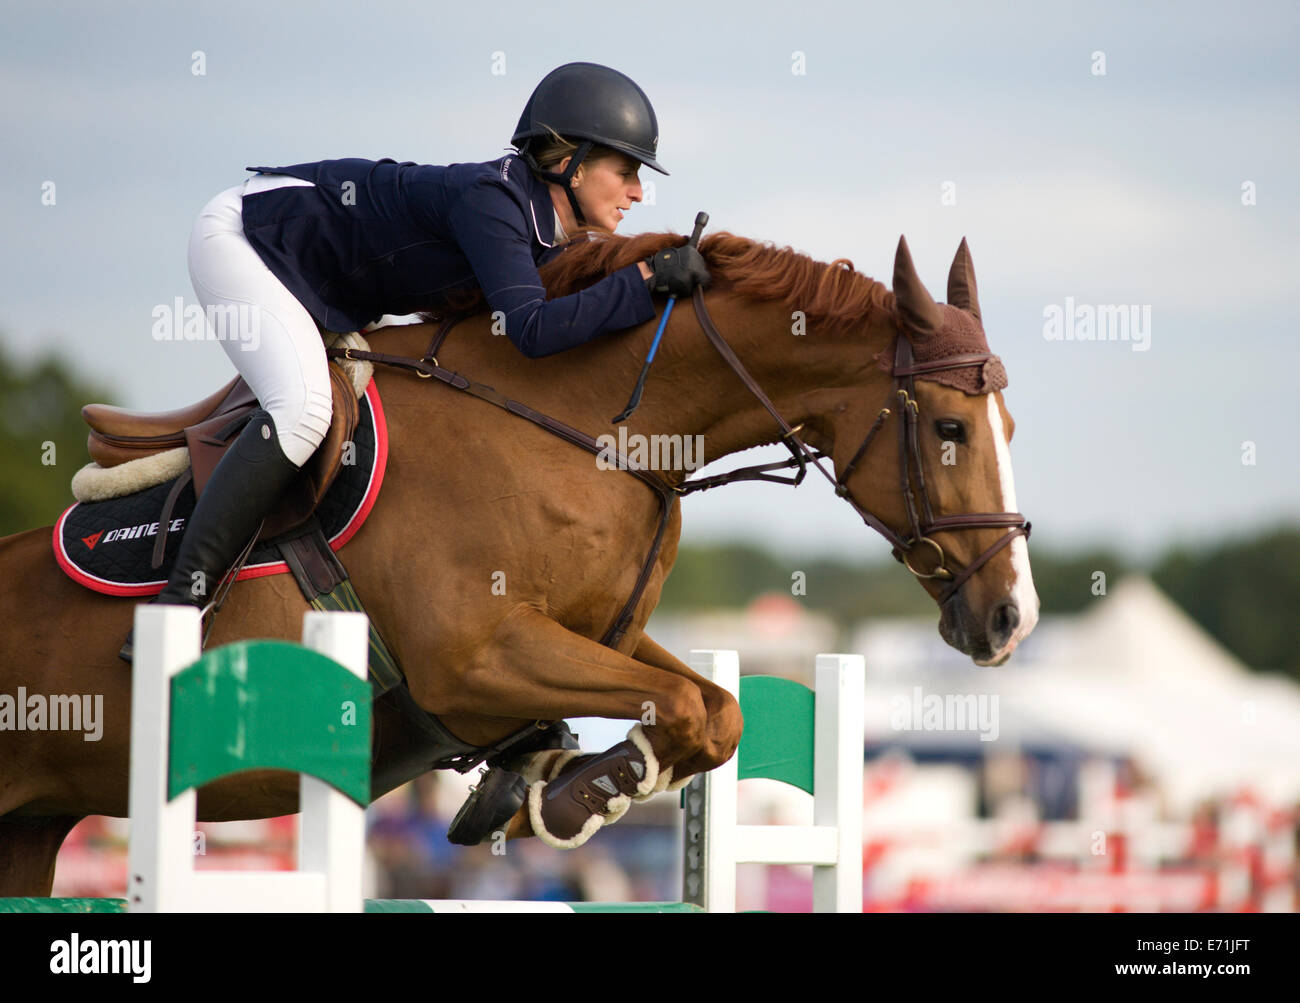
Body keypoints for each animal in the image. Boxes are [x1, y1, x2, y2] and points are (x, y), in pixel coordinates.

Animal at [0, 228, 1038, 894]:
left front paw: (551, 788)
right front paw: (581, 799)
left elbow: (716, 708)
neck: (586, 427)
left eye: (1009, 426)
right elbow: (685, 705)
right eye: (949, 428)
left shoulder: (589, 635)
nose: (1010, 619)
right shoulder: (473, 657)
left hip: (31, 824)